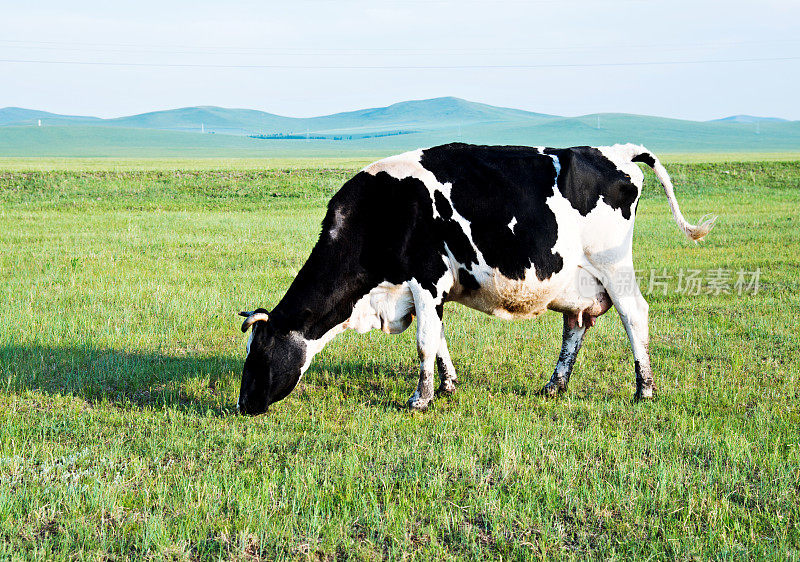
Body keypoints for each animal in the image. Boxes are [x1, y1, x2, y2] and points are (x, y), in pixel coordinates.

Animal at [234, 143, 716, 416]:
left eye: (258, 353)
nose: (242, 405)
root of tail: (616, 151)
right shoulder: (432, 291)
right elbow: (439, 339)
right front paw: (447, 387)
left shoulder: (425, 279)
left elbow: (424, 342)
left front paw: (421, 400)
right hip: (574, 280)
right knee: (575, 325)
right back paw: (554, 385)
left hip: (614, 266)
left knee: (635, 315)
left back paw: (644, 389)